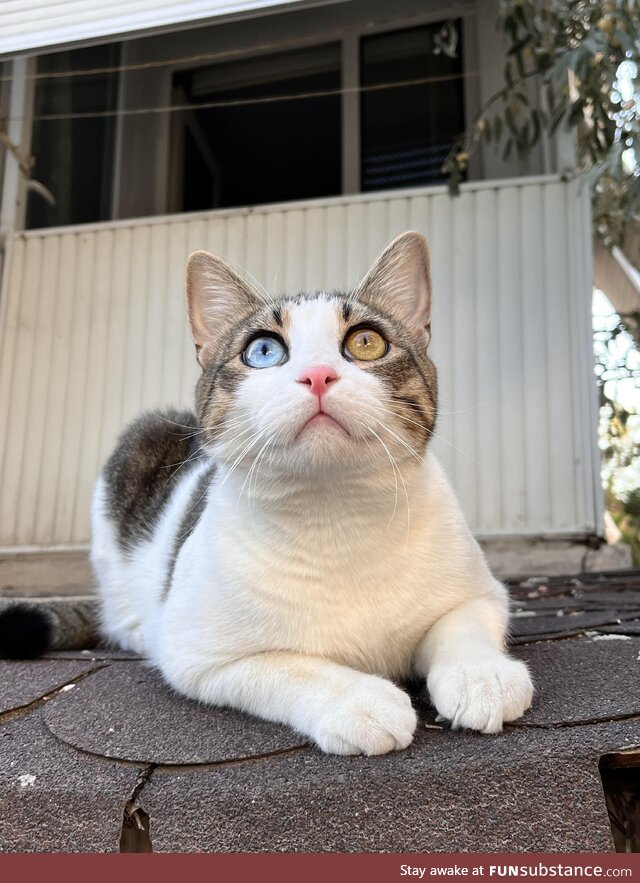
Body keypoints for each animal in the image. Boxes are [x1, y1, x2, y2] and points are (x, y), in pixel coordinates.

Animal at [2, 233, 532, 752]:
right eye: (262, 351)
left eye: (366, 342)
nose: (317, 374)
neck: (336, 515)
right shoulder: (201, 656)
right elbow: (292, 668)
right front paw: (361, 701)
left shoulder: (481, 595)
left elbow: (462, 627)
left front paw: (482, 677)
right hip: (136, 447)